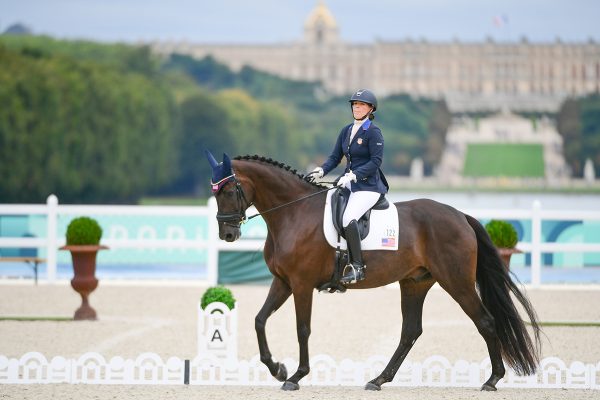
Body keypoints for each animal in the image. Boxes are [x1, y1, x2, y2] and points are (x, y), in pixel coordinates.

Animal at [205, 152, 540, 392]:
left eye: (229, 191)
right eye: (215, 193)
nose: (228, 235)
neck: (293, 213)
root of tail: (460, 215)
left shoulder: (301, 284)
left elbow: (302, 329)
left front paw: (296, 376)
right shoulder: (283, 282)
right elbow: (259, 320)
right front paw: (278, 369)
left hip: (457, 282)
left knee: (485, 321)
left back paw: (492, 380)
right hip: (415, 283)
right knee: (410, 331)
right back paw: (378, 380)